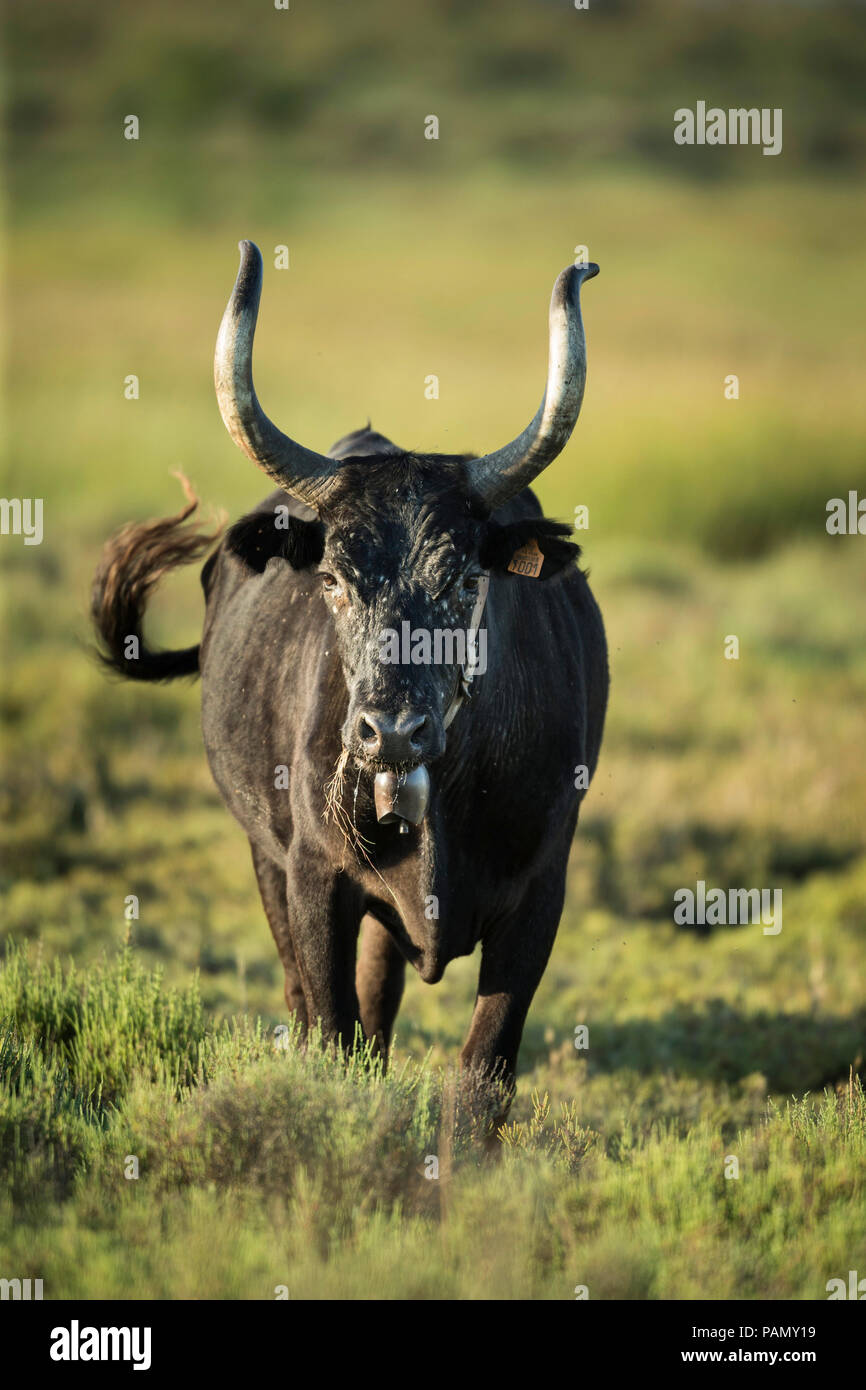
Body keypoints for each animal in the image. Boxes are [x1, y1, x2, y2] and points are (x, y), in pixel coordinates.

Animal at [91, 244, 608, 1100]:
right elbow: (333, 1035)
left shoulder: (542, 892)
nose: (389, 732)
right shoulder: (312, 880)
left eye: (466, 579)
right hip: (266, 858)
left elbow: (482, 1072)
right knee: (316, 1010)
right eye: (332, 579)